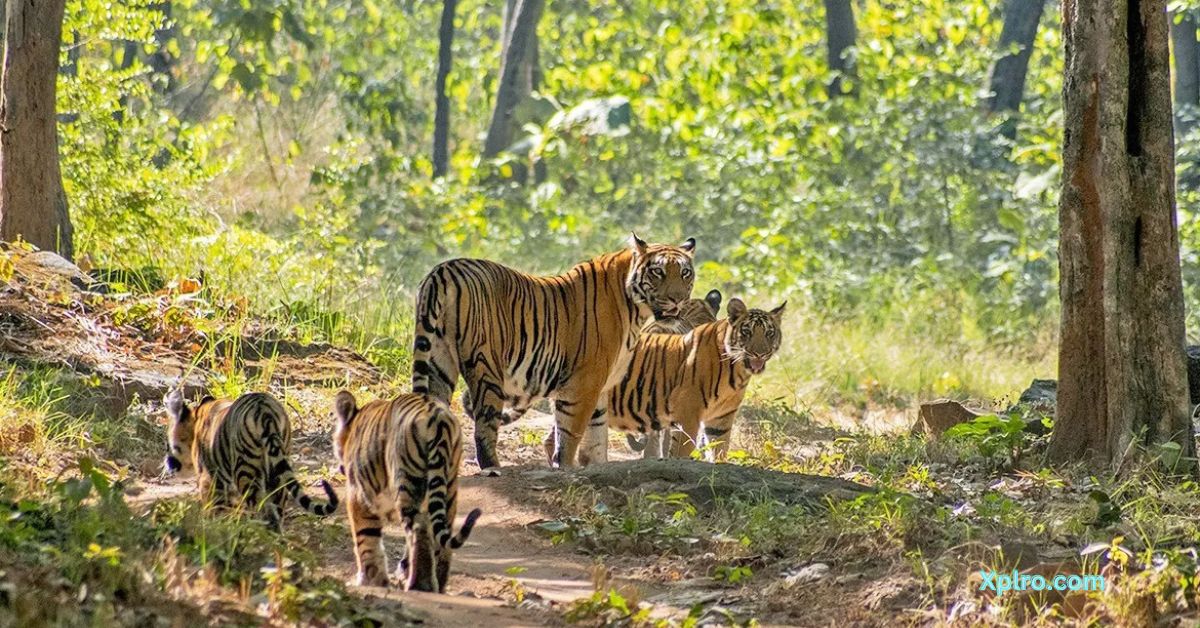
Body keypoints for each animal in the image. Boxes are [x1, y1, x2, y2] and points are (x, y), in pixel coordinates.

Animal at [159, 391, 338, 528]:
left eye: (167, 444)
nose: (167, 463)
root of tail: (265, 411)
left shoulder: (209, 479)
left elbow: (213, 508)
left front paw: (211, 526)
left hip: (246, 470)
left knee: (262, 509)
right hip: (277, 470)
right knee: (276, 508)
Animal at [331, 391, 480, 593]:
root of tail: (437, 417)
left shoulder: (358, 495)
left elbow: (366, 538)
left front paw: (370, 580)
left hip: (406, 482)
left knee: (419, 529)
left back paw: (420, 585)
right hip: (449, 486)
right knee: (441, 534)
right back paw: (438, 584)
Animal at [412, 232, 700, 468]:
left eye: (685, 273)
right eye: (658, 272)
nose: (677, 299)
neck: (636, 311)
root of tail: (444, 270)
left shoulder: (601, 387)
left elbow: (597, 438)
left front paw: (597, 468)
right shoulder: (583, 385)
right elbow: (570, 436)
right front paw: (566, 468)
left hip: (438, 362)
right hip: (486, 367)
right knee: (484, 427)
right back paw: (492, 468)